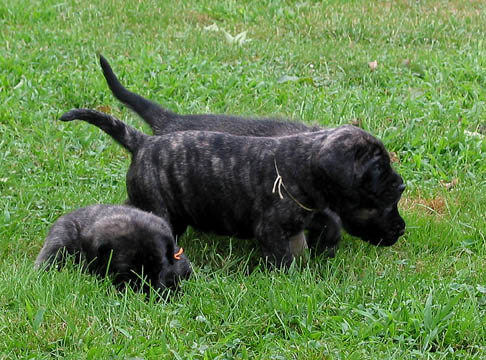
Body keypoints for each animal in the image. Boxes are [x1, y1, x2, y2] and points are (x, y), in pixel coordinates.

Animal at [57, 109, 406, 270]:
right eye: (378, 168)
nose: (401, 183)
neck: (304, 163)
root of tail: (142, 142)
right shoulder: (271, 230)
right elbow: (283, 260)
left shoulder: (307, 213)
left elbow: (327, 223)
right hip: (161, 208)